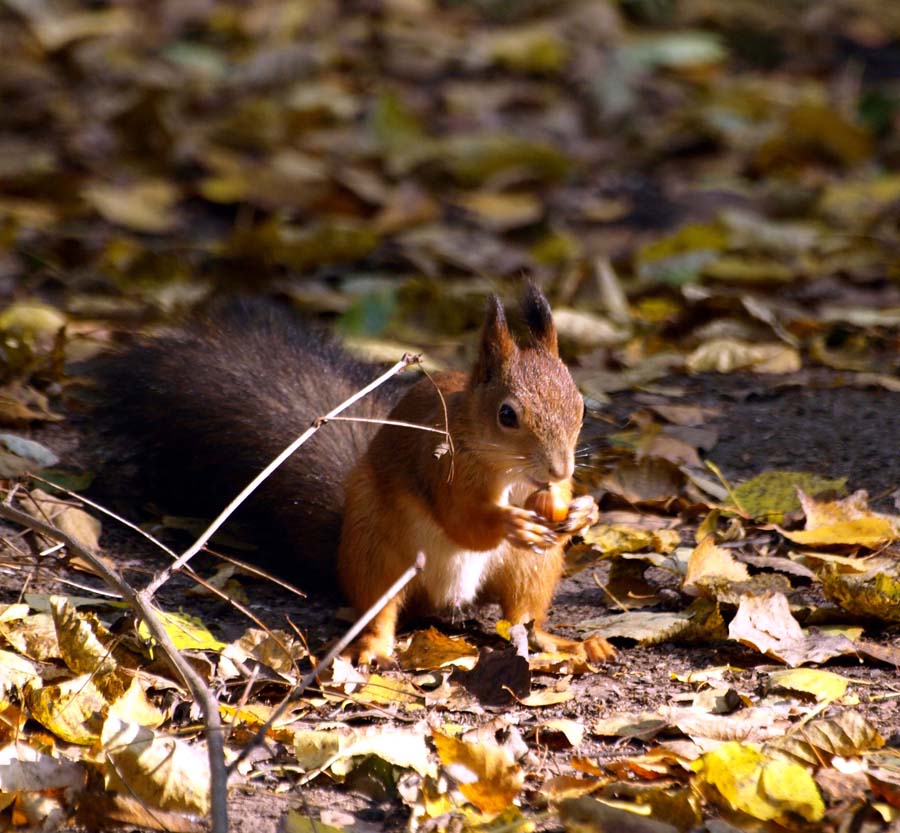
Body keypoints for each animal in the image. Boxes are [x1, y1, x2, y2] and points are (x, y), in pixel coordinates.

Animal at [89, 286, 612, 664]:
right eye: (507, 415)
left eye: (581, 405)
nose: (560, 468)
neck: (509, 473)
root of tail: (446, 599)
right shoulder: (439, 466)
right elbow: (463, 521)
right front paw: (510, 521)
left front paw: (584, 510)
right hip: (377, 548)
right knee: (380, 607)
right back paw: (372, 649)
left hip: (531, 568)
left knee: (525, 617)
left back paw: (562, 642)